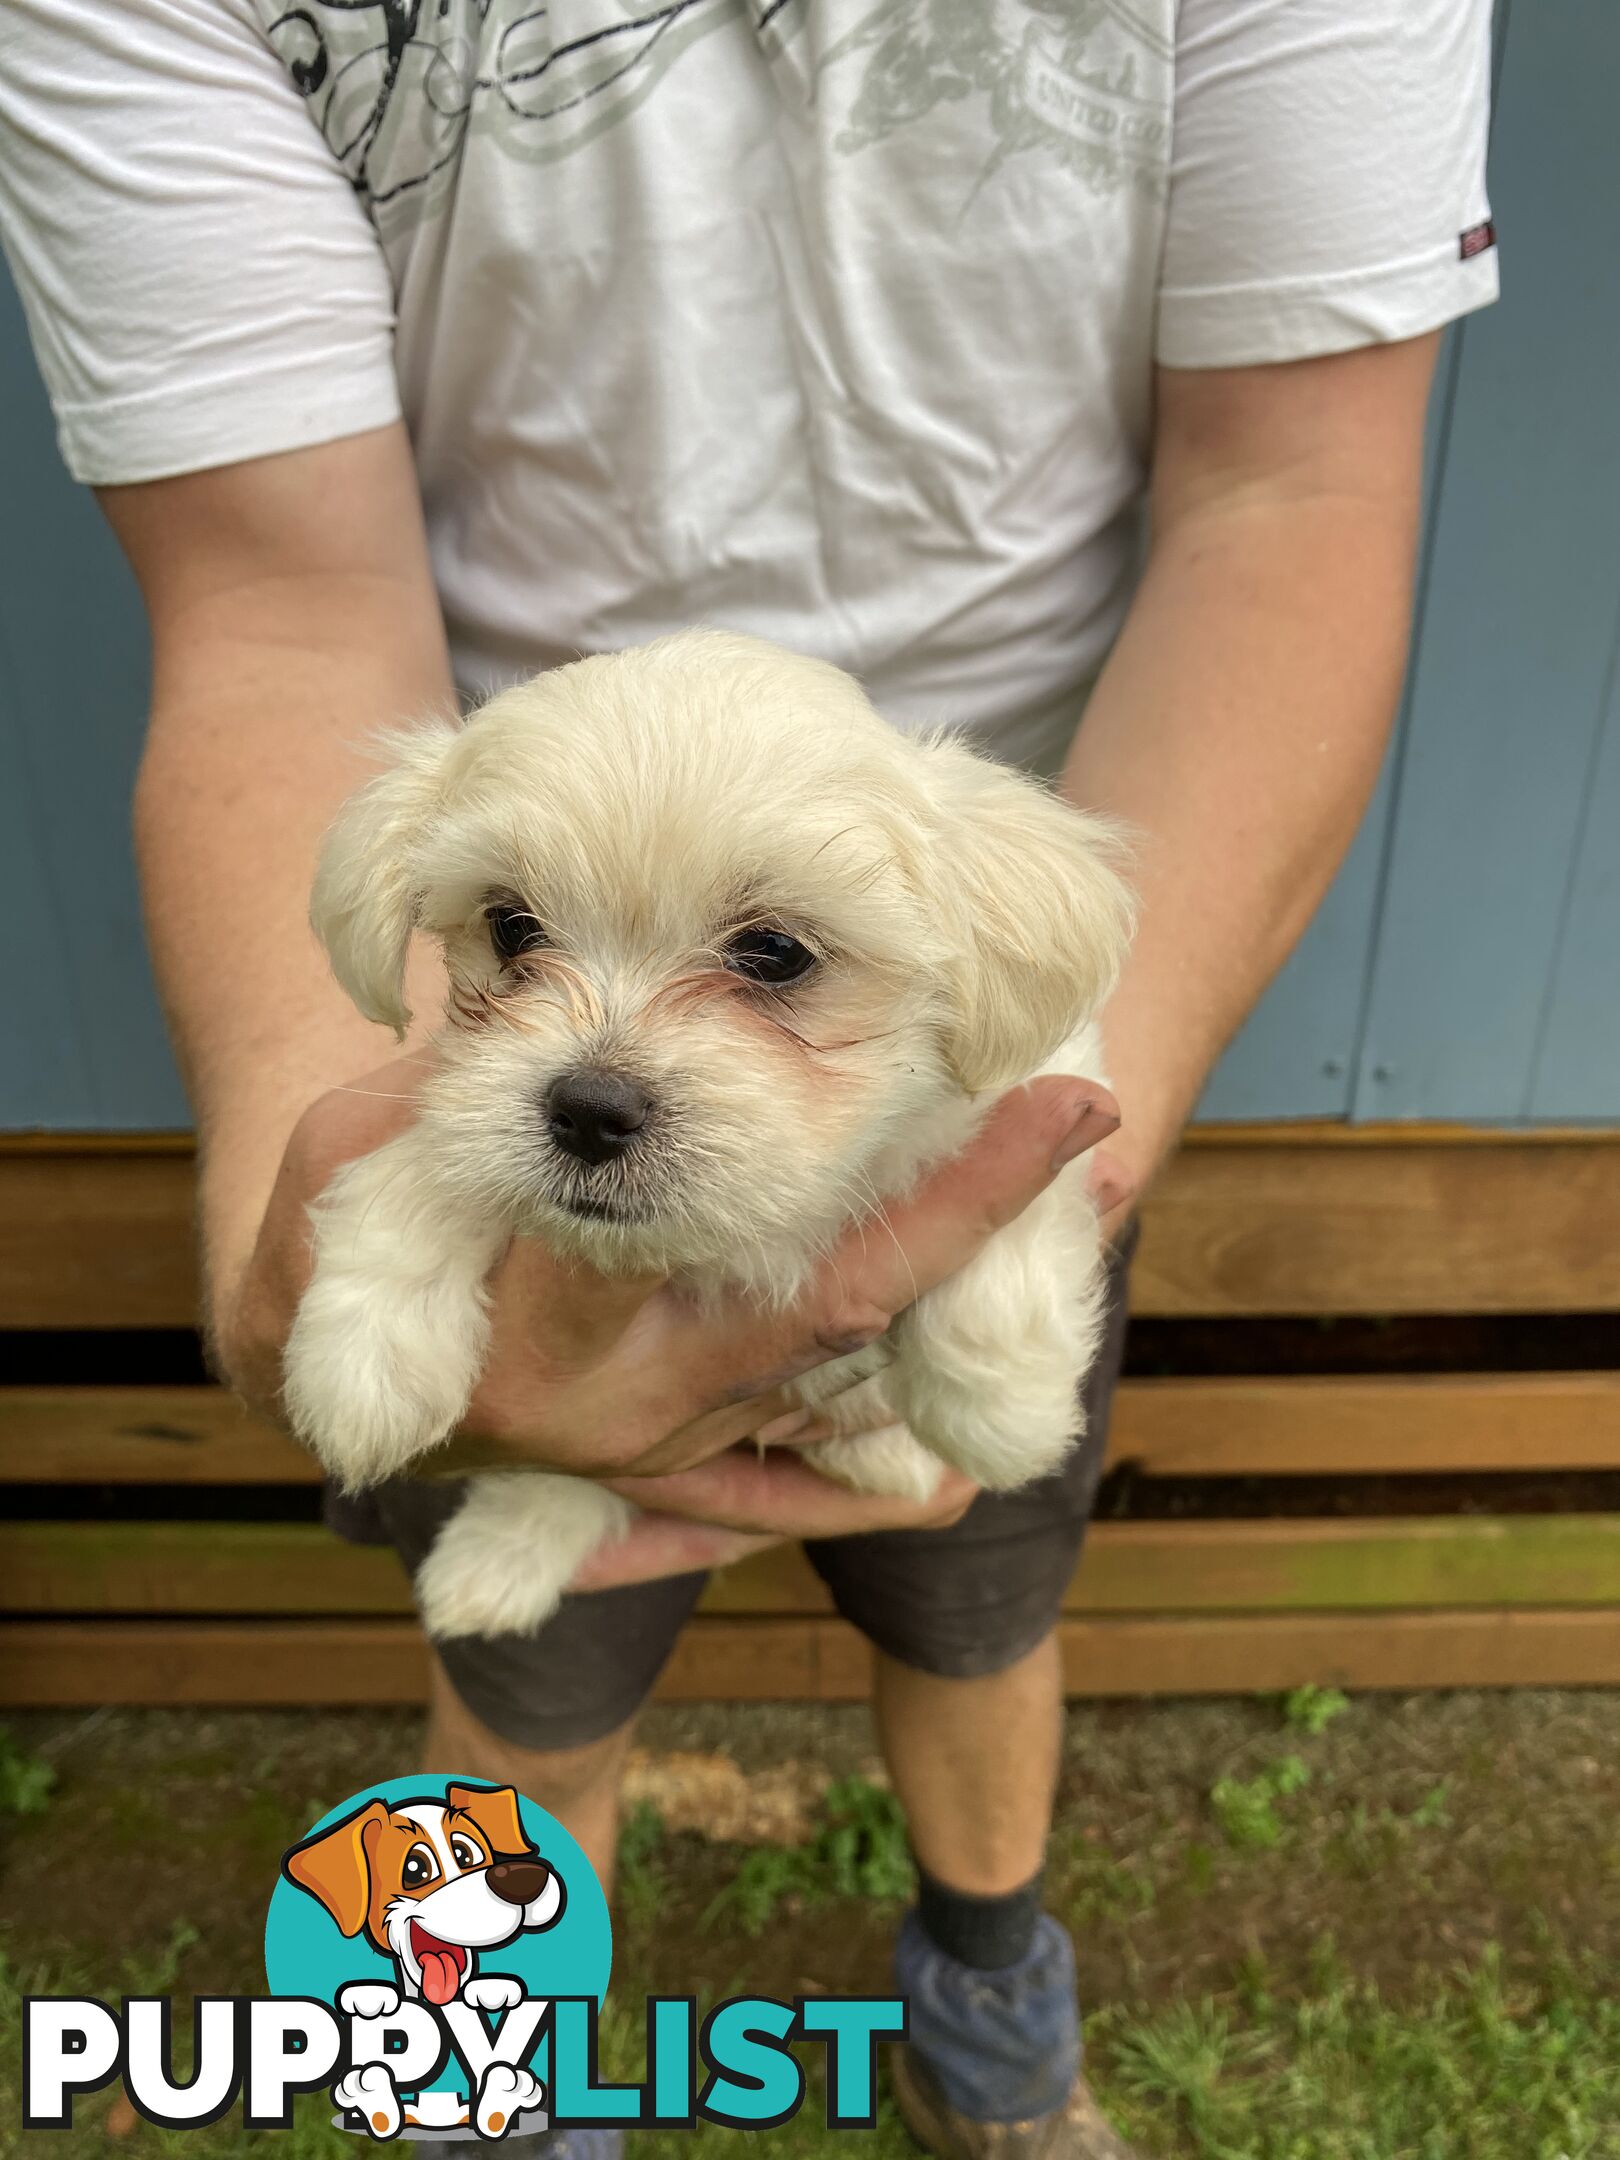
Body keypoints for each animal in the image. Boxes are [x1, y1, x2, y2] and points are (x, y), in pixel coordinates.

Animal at [285, 630, 1131, 1641]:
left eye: (776, 952)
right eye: (510, 925)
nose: (589, 1107)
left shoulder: (1048, 1089)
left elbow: (1012, 1239)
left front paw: (1004, 1412)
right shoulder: (467, 1107)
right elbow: (420, 1172)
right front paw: (362, 1363)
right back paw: (493, 1558)